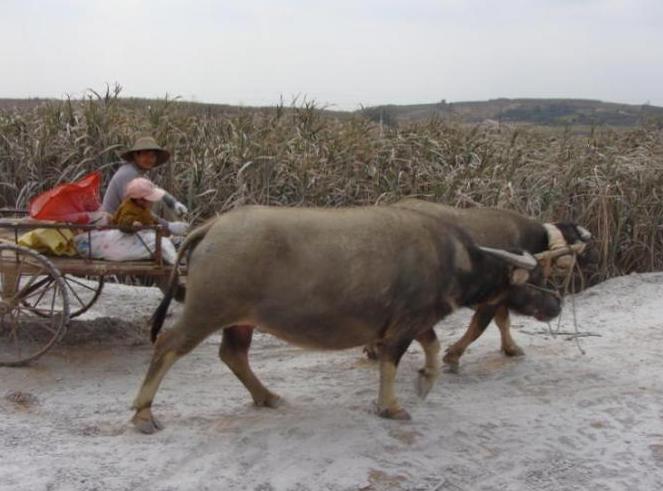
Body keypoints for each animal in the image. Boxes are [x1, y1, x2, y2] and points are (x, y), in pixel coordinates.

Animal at [131, 205, 564, 434]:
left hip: (241, 319)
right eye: (538, 278)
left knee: (233, 355)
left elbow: (434, 346)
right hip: (206, 310)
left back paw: (267, 396)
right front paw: (392, 406)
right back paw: (143, 413)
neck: (451, 257)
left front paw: (425, 380)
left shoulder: (415, 319)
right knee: (167, 346)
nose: (557, 304)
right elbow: (391, 361)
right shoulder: (402, 327)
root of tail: (213, 225)